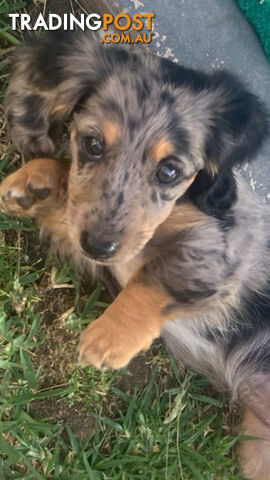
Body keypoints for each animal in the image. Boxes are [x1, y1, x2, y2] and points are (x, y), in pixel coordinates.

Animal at [0, 31, 270, 478]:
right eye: (92, 144)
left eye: (169, 172)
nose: (98, 246)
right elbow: (73, 199)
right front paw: (38, 182)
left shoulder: (225, 251)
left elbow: (156, 277)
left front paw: (109, 337)